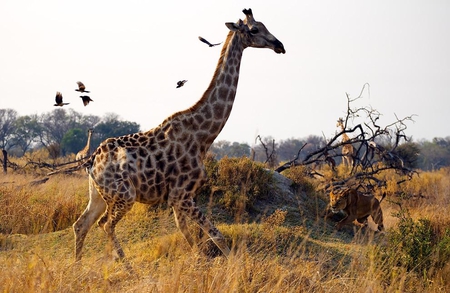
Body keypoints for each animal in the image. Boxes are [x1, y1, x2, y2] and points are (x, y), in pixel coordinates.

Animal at [46, 8, 284, 262]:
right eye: (255, 29)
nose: (280, 45)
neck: (203, 136)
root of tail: (92, 161)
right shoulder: (181, 194)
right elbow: (215, 235)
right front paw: (233, 265)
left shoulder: (179, 197)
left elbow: (189, 235)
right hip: (124, 194)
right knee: (105, 224)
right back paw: (126, 265)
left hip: (98, 195)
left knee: (81, 224)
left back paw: (77, 265)